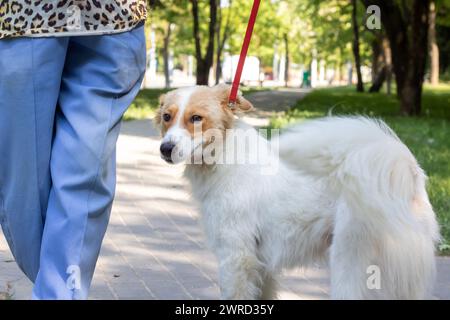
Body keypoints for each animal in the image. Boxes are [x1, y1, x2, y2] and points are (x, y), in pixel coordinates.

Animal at [155, 85, 440, 300]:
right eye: (167, 117)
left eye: (196, 118)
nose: (165, 149)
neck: (225, 157)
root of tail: (407, 172)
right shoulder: (261, 266)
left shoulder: (235, 257)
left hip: (351, 266)